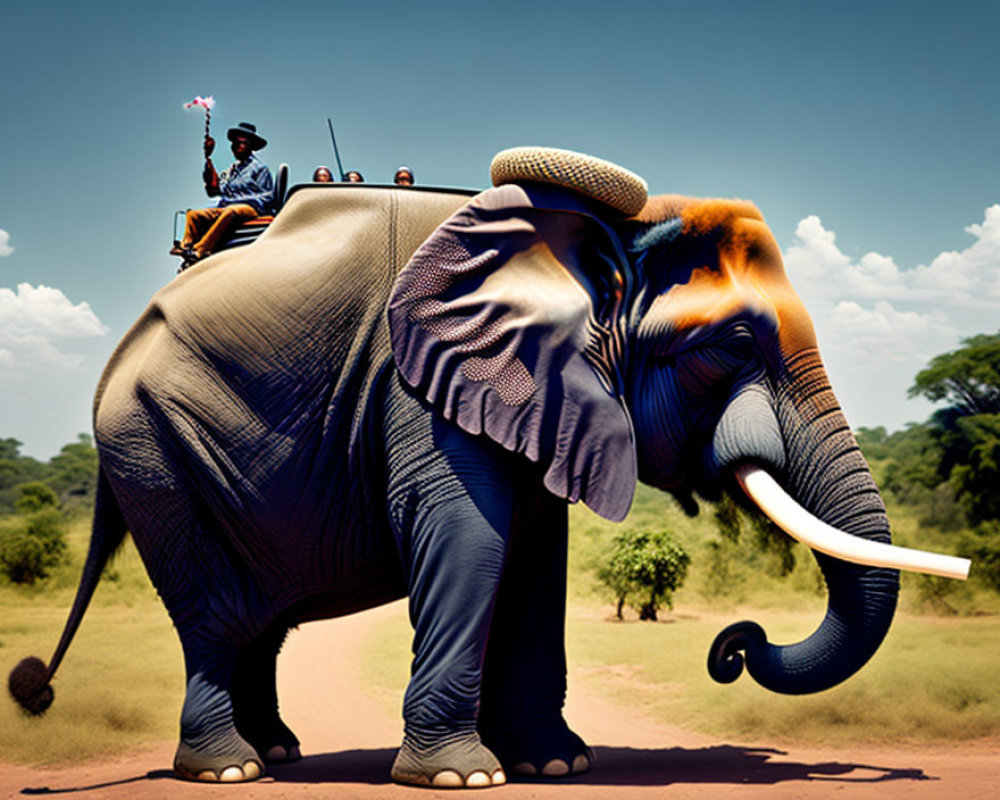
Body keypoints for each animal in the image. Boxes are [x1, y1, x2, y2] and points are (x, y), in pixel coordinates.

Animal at [10, 147, 968, 789]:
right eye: (732, 343)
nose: (736, 646)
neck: (593, 243)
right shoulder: (418, 382)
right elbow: (469, 536)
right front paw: (462, 777)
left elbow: (538, 559)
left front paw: (558, 764)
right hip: (152, 448)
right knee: (214, 612)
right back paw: (227, 770)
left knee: (263, 616)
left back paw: (277, 752)